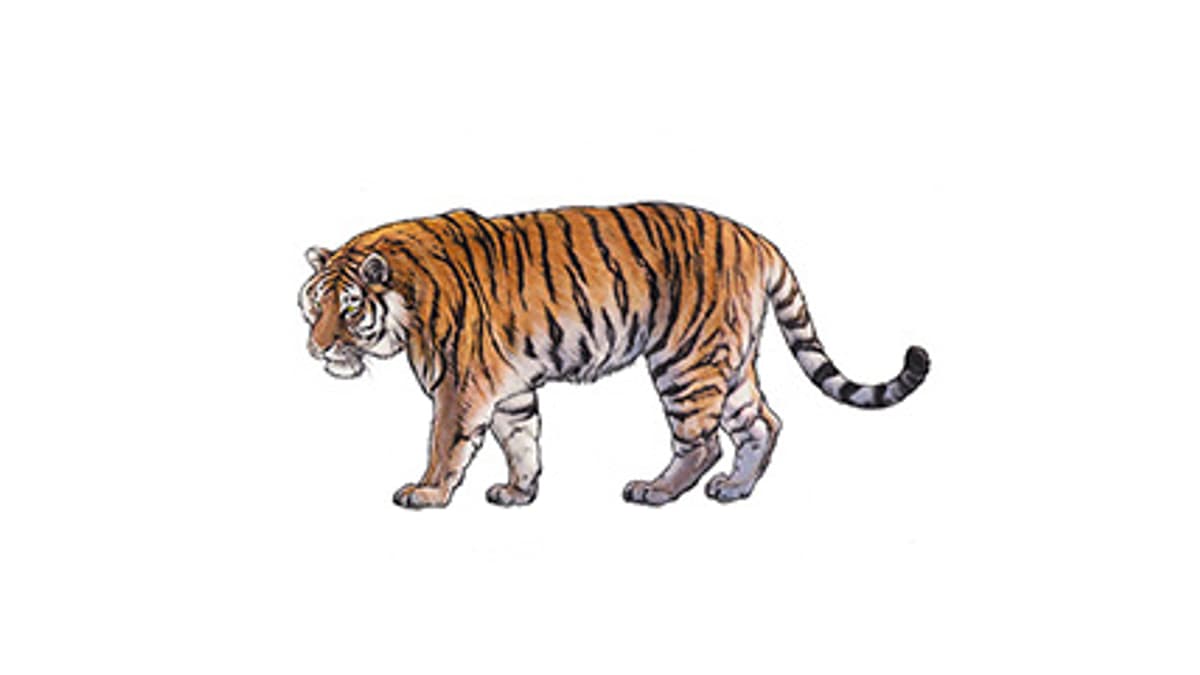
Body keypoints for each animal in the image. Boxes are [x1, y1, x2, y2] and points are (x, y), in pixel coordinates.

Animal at [298, 202, 929, 508]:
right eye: (312, 305)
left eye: (348, 309)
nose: (315, 347)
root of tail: (757, 239)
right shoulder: (510, 388)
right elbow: (522, 440)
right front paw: (518, 492)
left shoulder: (462, 383)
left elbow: (443, 442)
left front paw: (426, 493)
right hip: (730, 362)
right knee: (763, 423)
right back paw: (734, 489)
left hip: (686, 360)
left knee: (701, 442)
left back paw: (656, 492)